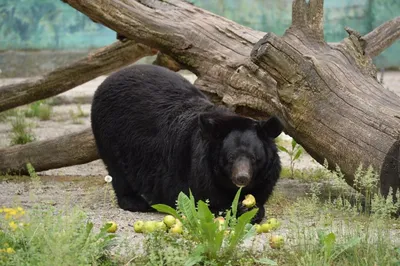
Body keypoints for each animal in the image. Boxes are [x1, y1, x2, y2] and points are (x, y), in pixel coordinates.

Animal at [92, 64, 282, 222]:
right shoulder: (196, 168)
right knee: (118, 172)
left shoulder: (266, 175)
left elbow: (261, 193)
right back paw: (135, 202)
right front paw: (233, 208)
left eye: (254, 158)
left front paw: (251, 207)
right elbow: (202, 199)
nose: (242, 178)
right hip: (111, 135)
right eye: (230, 158)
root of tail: (108, 79)